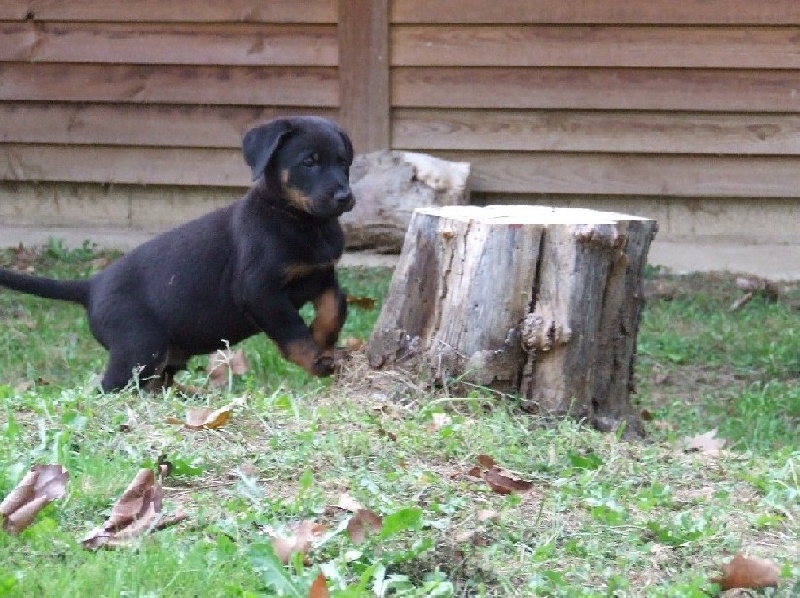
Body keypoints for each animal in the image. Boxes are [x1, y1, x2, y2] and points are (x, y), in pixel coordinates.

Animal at [0, 116, 356, 394]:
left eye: (344, 162)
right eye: (309, 161)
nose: (344, 196)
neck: (301, 220)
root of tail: (92, 285)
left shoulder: (322, 273)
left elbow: (336, 306)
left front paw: (324, 338)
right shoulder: (259, 291)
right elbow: (292, 330)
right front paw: (317, 358)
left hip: (160, 352)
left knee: (156, 384)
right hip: (140, 346)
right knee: (114, 388)